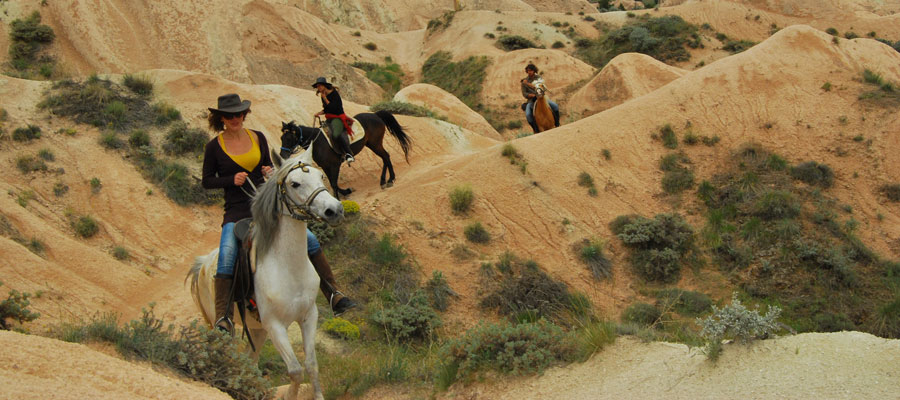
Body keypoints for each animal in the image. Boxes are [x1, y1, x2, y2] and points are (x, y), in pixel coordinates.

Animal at [187, 143, 343, 400]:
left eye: (321, 176)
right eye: (295, 184)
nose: (335, 210)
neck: (289, 267)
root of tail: (203, 263)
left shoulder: (308, 316)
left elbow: (311, 365)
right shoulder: (275, 325)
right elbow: (295, 371)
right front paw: (290, 396)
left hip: (257, 330)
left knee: (251, 361)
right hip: (225, 326)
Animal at [280, 110, 412, 199]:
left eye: (288, 138)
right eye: (282, 138)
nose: (283, 154)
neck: (318, 142)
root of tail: (375, 114)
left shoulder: (334, 165)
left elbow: (334, 183)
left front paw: (338, 198)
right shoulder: (326, 166)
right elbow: (333, 183)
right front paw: (346, 191)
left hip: (375, 144)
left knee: (386, 157)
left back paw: (390, 179)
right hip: (372, 144)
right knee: (385, 157)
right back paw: (384, 181)